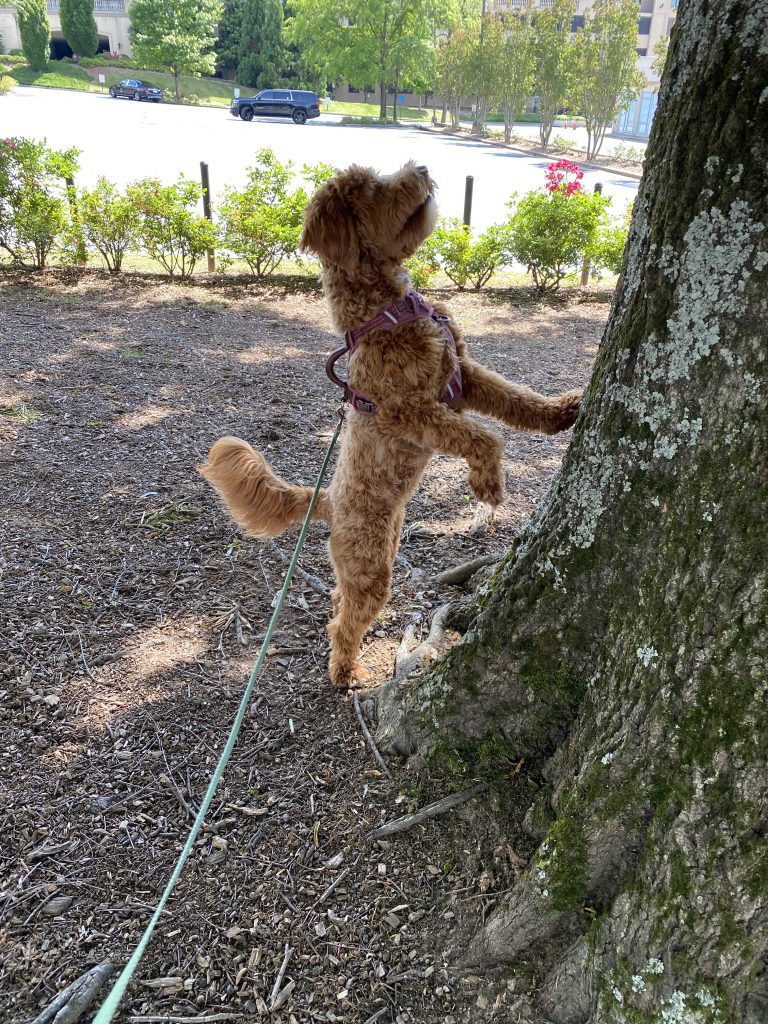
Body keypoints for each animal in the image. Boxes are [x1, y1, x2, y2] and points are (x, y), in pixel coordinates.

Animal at [201, 161, 581, 688]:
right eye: (373, 190)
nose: (421, 167)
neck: (388, 313)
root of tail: (327, 500)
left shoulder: (463, 375)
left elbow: (515, 399)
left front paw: (561, 412)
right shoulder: (409, 411)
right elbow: (483, 435)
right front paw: (488, 484)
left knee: (336, 603)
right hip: (370, 564)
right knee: (345, 622)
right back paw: (345, 671)